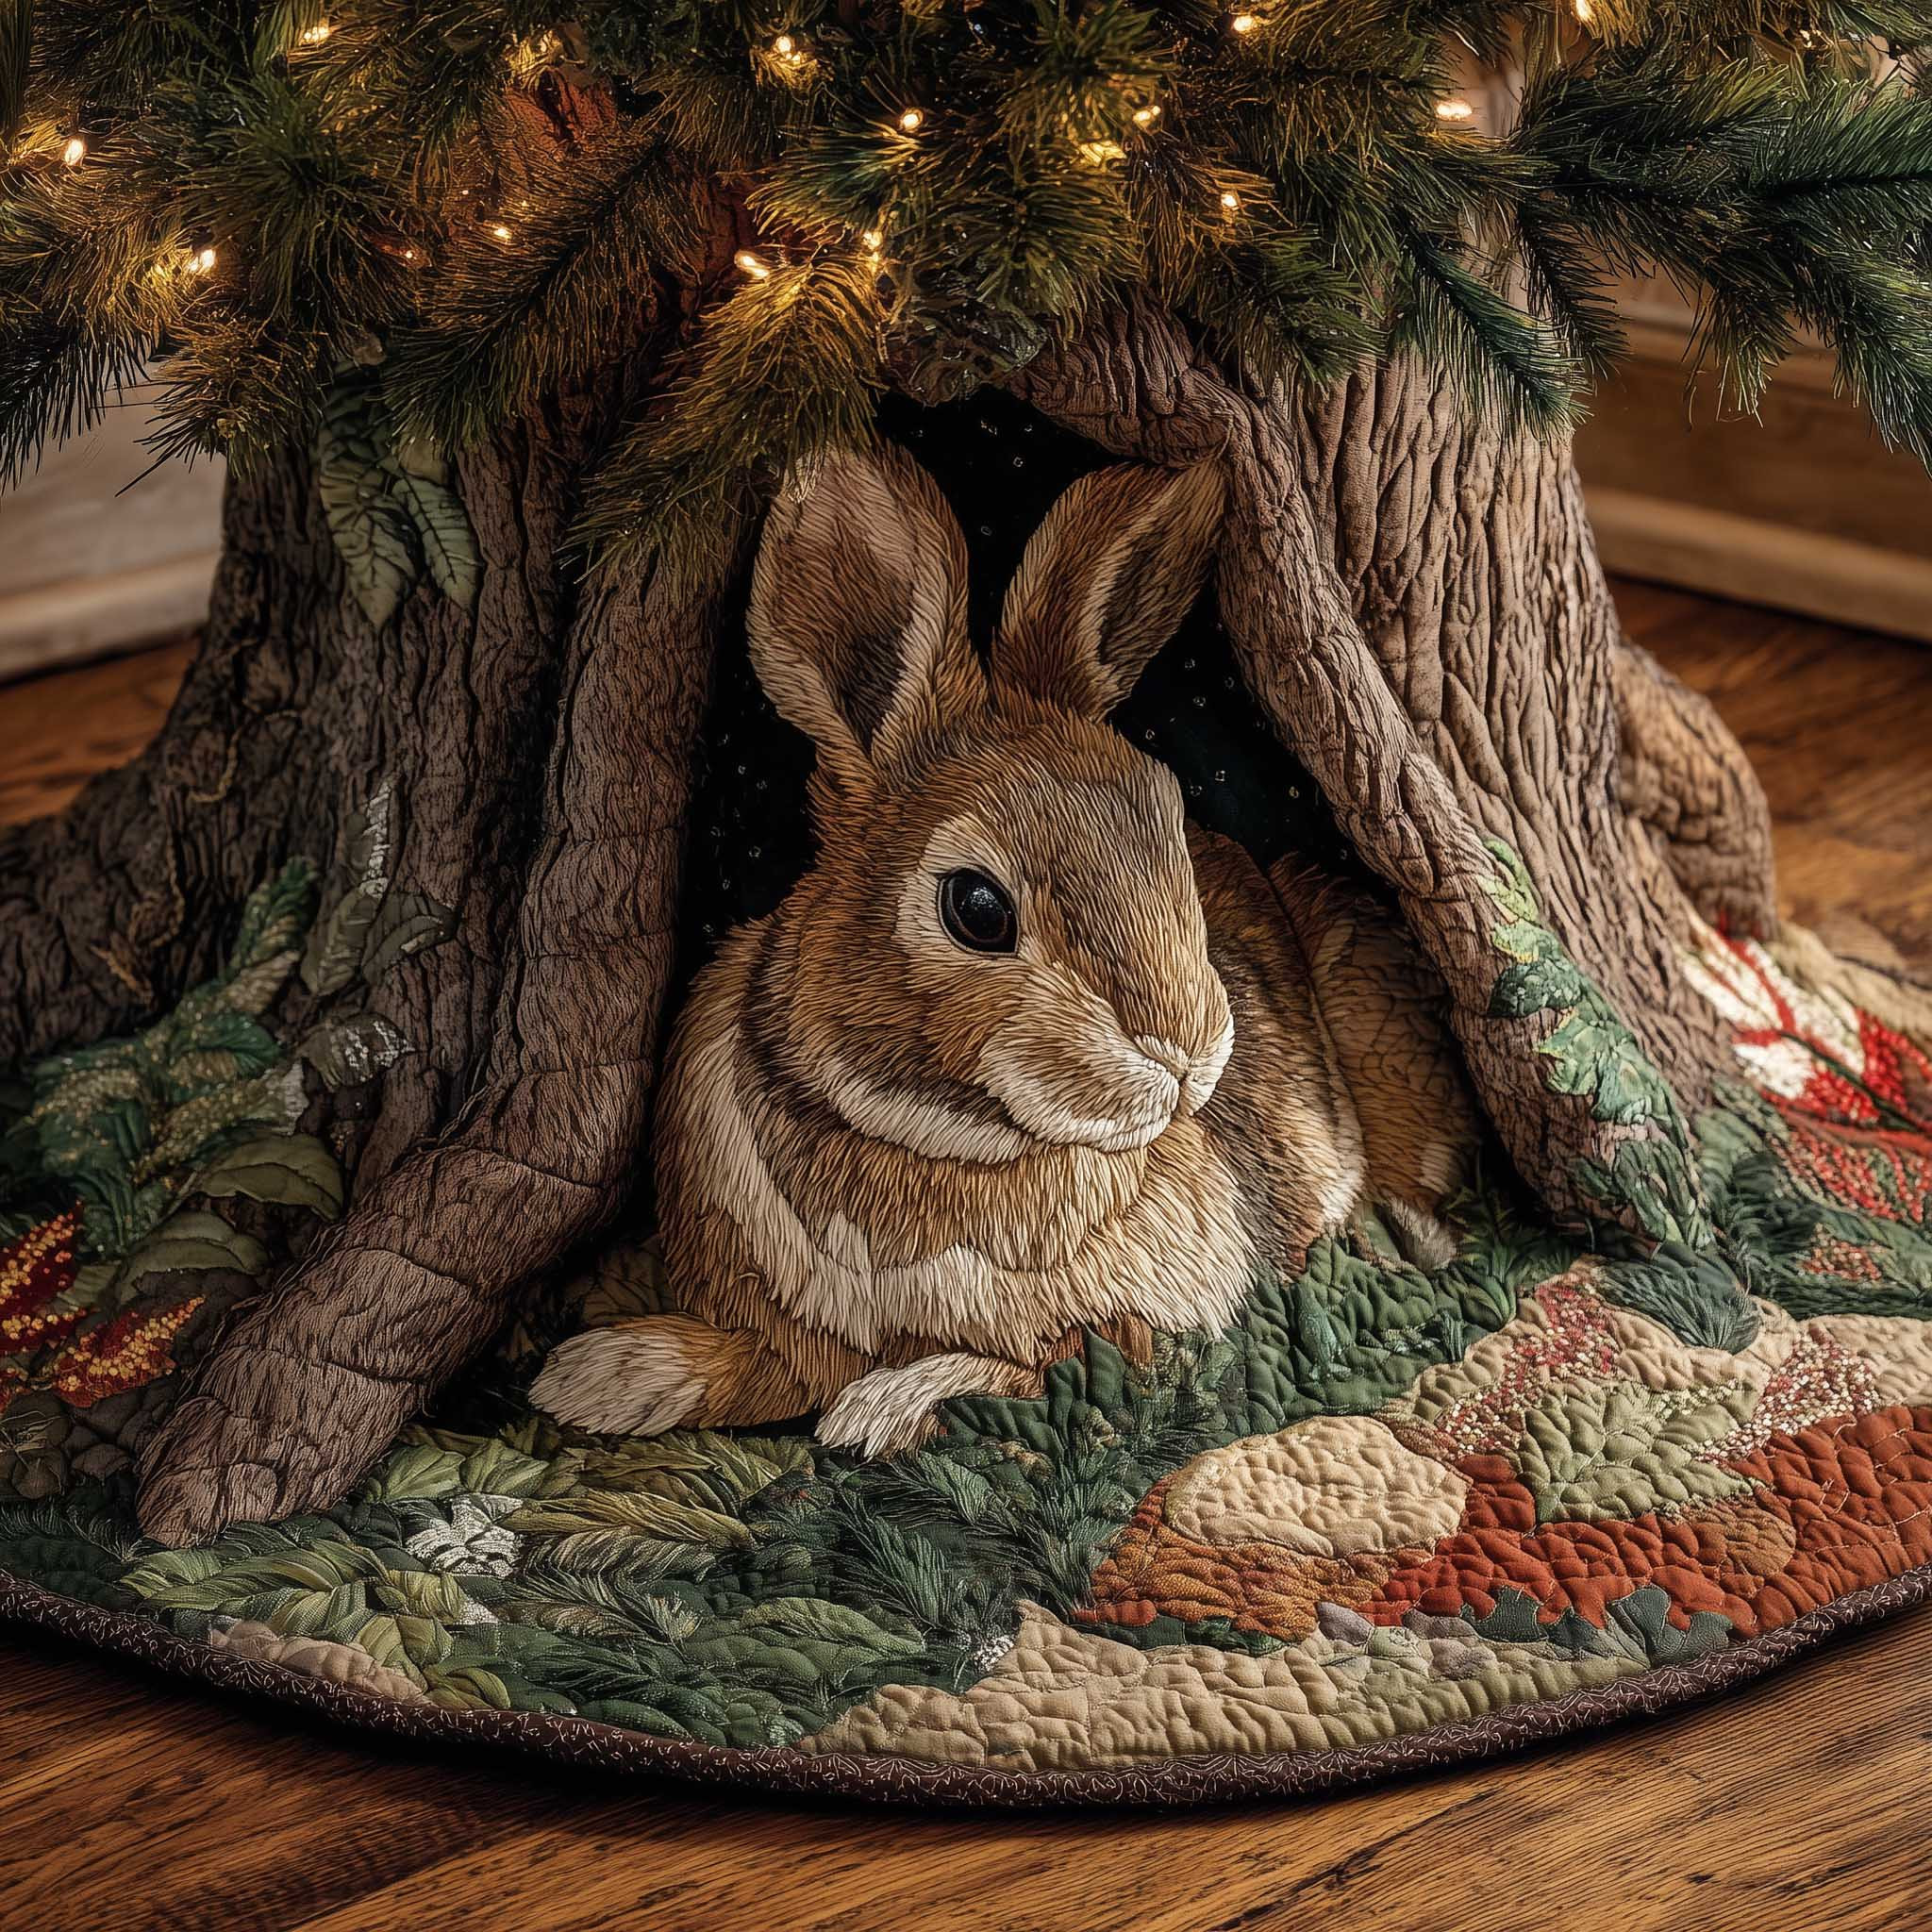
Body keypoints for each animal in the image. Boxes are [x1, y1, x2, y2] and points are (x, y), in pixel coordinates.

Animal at [531, 444, 1476, 1457]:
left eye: (1174, 832)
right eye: (977, 908)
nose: (1186, 1054)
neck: (929, 1142)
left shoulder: (1159, 1322)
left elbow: (1060, 1363)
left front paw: (884, 1409)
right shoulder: (790, 1324)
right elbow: (749, 1363)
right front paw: (604, 1375)